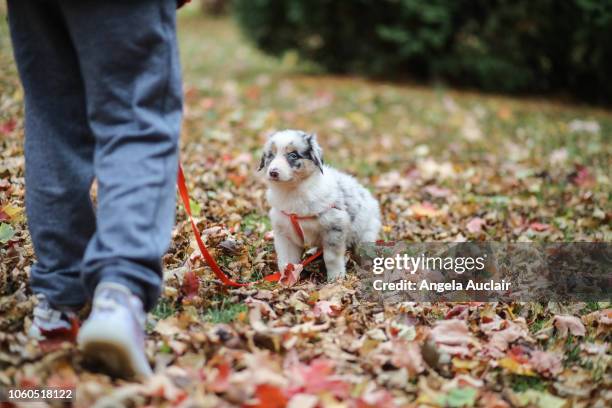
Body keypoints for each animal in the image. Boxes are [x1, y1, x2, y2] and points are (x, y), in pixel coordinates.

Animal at [256, 130, 380, 280]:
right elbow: (286, 260)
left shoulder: (334, 226)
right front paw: (286, 279)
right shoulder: (284, 232)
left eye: (293, 155)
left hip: (366, 235)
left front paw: (335, 278)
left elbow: (331, 257)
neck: (293, 191)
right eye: (271, 155)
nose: (273, 172)